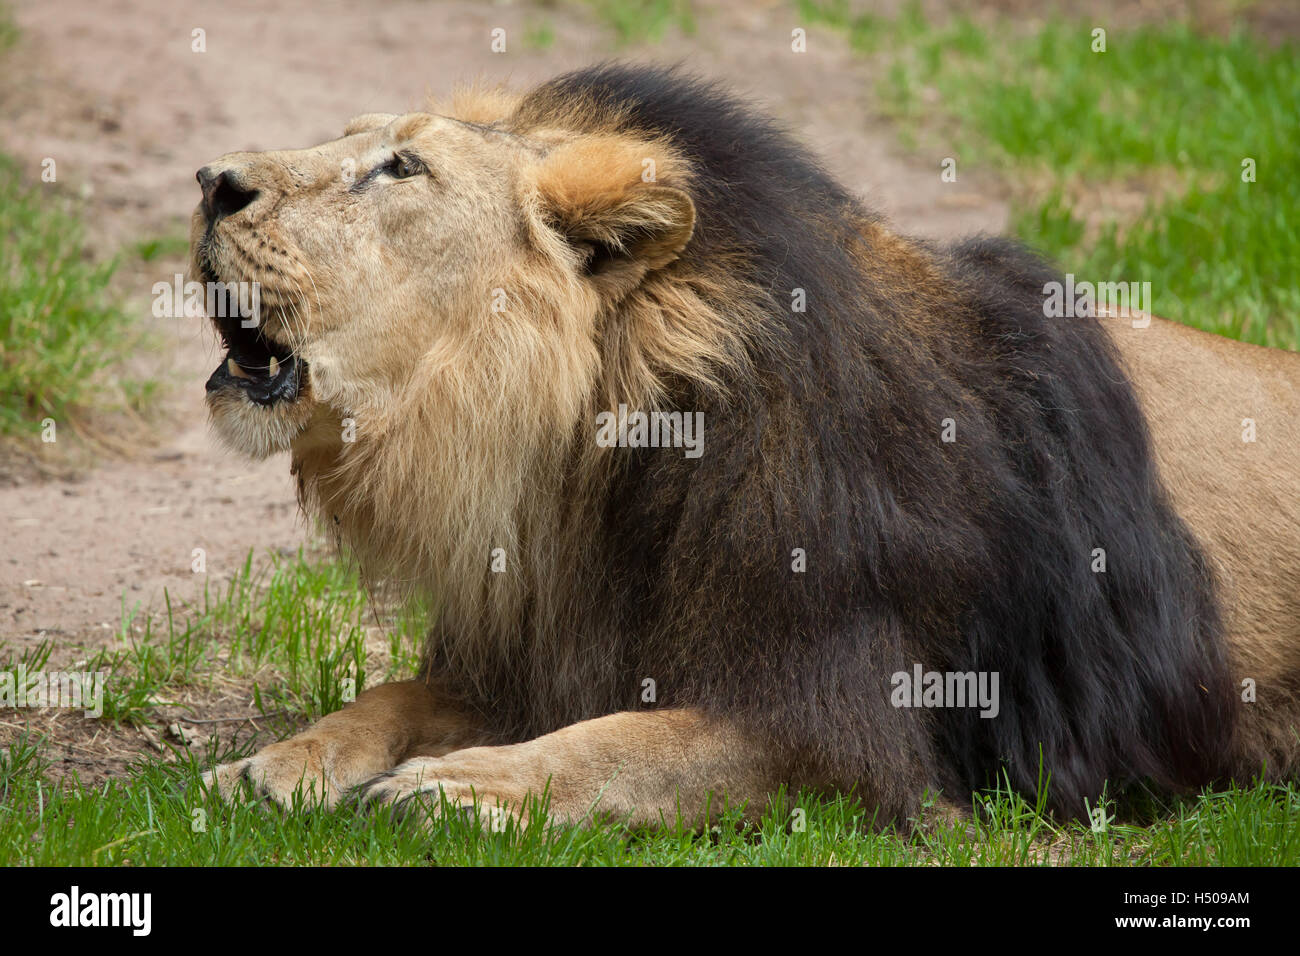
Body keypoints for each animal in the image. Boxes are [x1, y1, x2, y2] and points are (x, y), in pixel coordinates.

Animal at [192, 65, 1300, 832]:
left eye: (400, 167)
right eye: (348, 142)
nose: (211, 180)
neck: (581, 462)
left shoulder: (839, 732)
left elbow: (619, 749)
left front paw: (463, 786)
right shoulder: (527, 655)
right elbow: (388, 694)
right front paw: (282, 761)